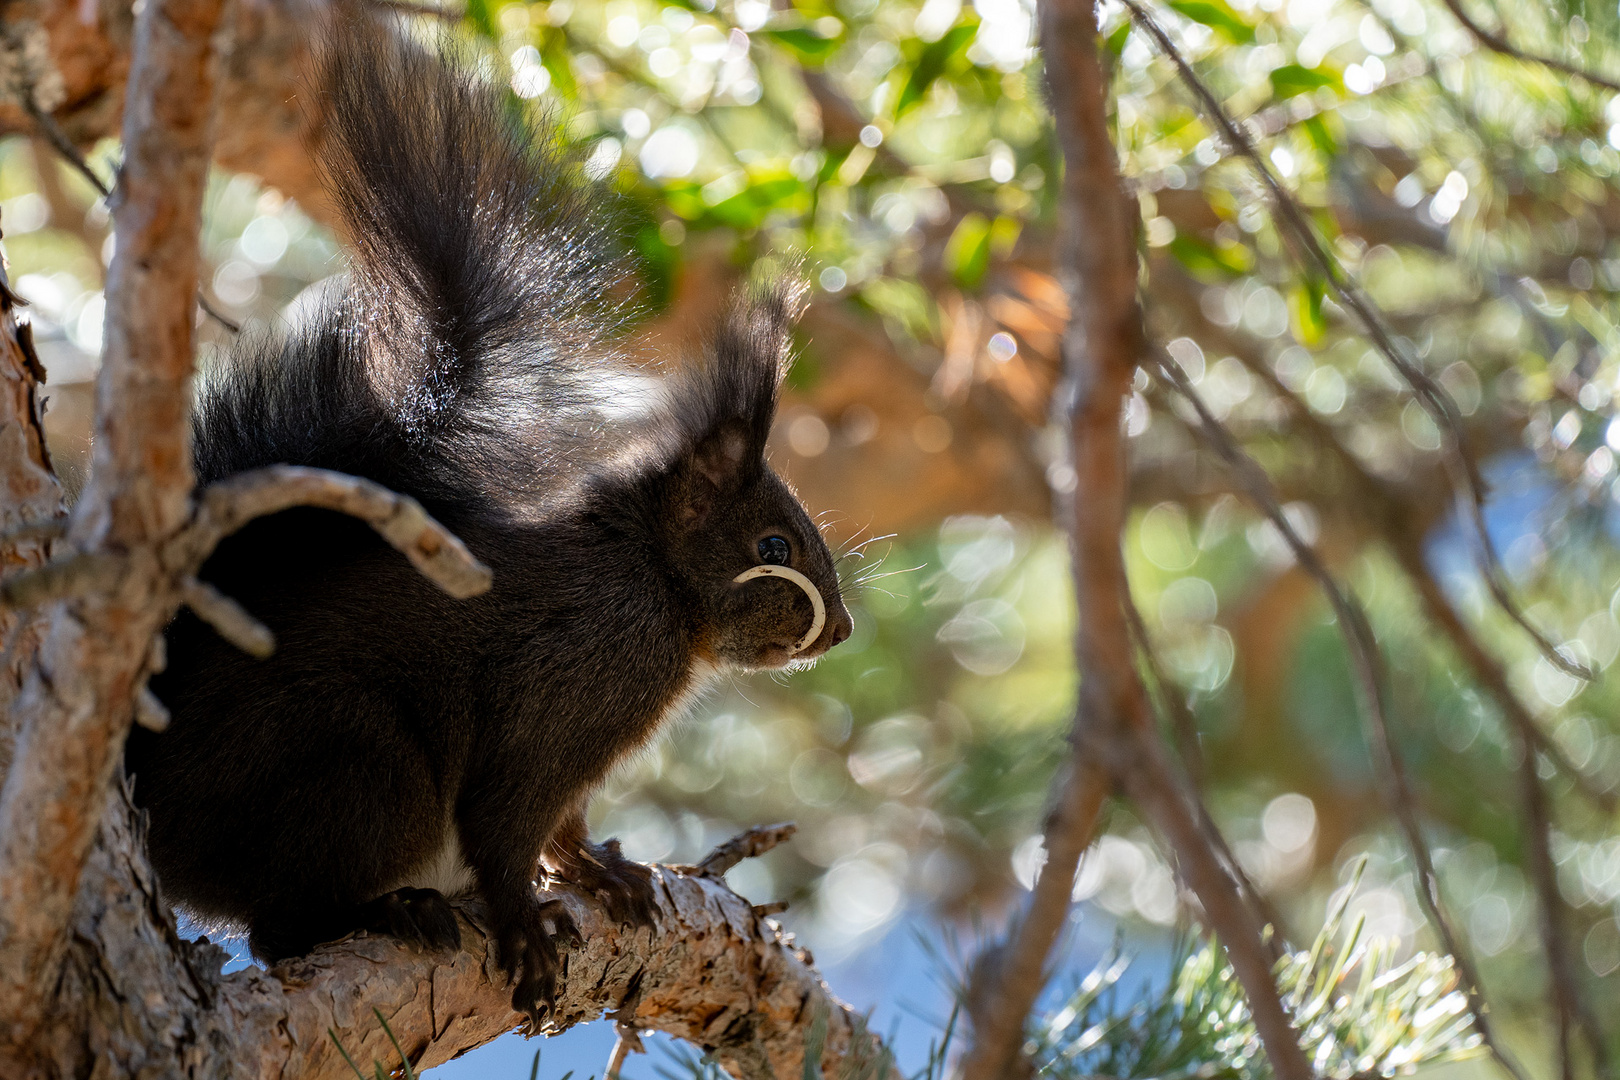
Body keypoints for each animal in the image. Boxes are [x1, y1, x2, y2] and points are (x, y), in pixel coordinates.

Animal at [121, 21, 855, 1029]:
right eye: (773, 548)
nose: (844, 629)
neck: (650, 574)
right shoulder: (575, 673)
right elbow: (508, 814)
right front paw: (521, 924)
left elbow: (563, 821)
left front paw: (603, 873)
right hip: (363, 764)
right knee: (279, 928)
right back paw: (394, 912)